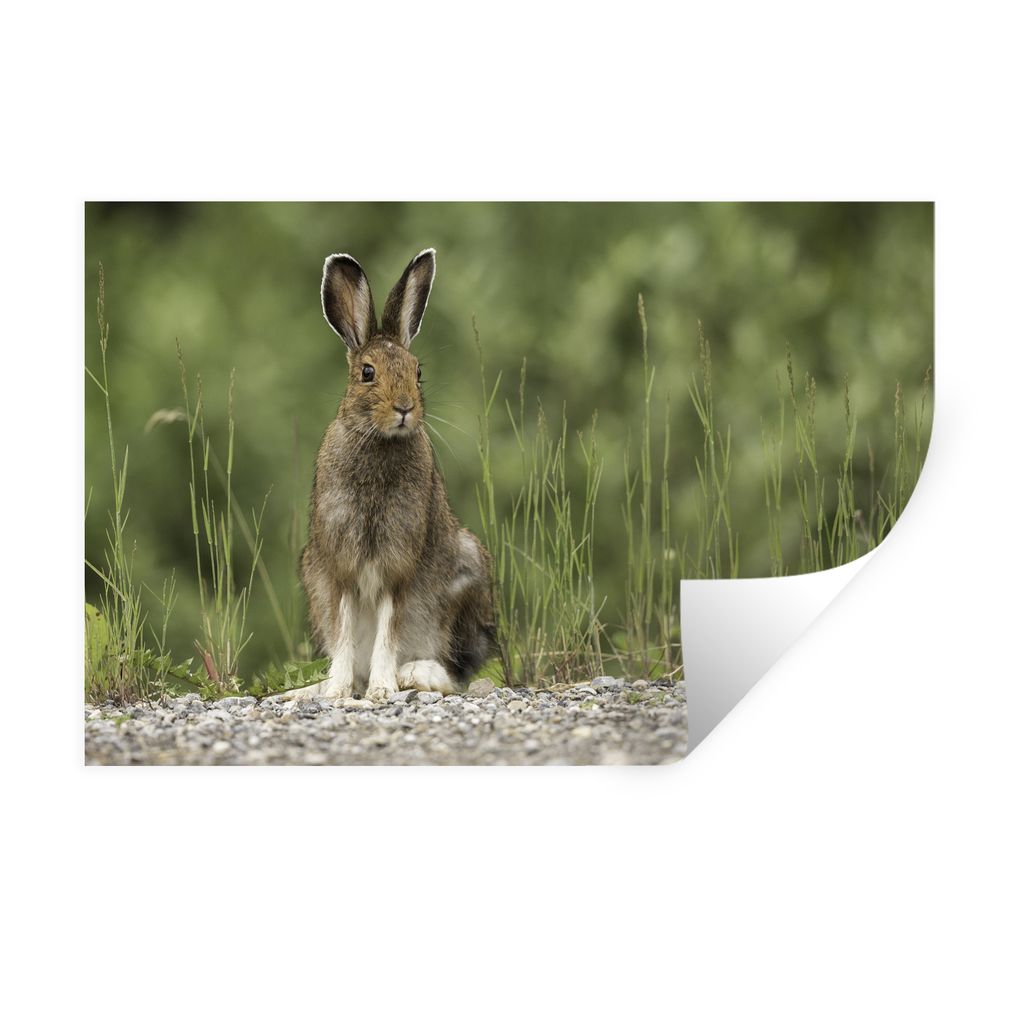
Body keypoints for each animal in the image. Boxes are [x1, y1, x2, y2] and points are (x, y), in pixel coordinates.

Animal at [279, 248, 497, 704]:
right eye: (367, 372)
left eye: (418, 371)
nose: (404, 408)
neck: (379, 442)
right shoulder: (340, 565)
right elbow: (345, 631)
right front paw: (338, 691)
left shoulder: (397, 565)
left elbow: (389, 628)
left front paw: (381, 689)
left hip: (467, 574)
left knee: (459, 671)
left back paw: (416, 674)